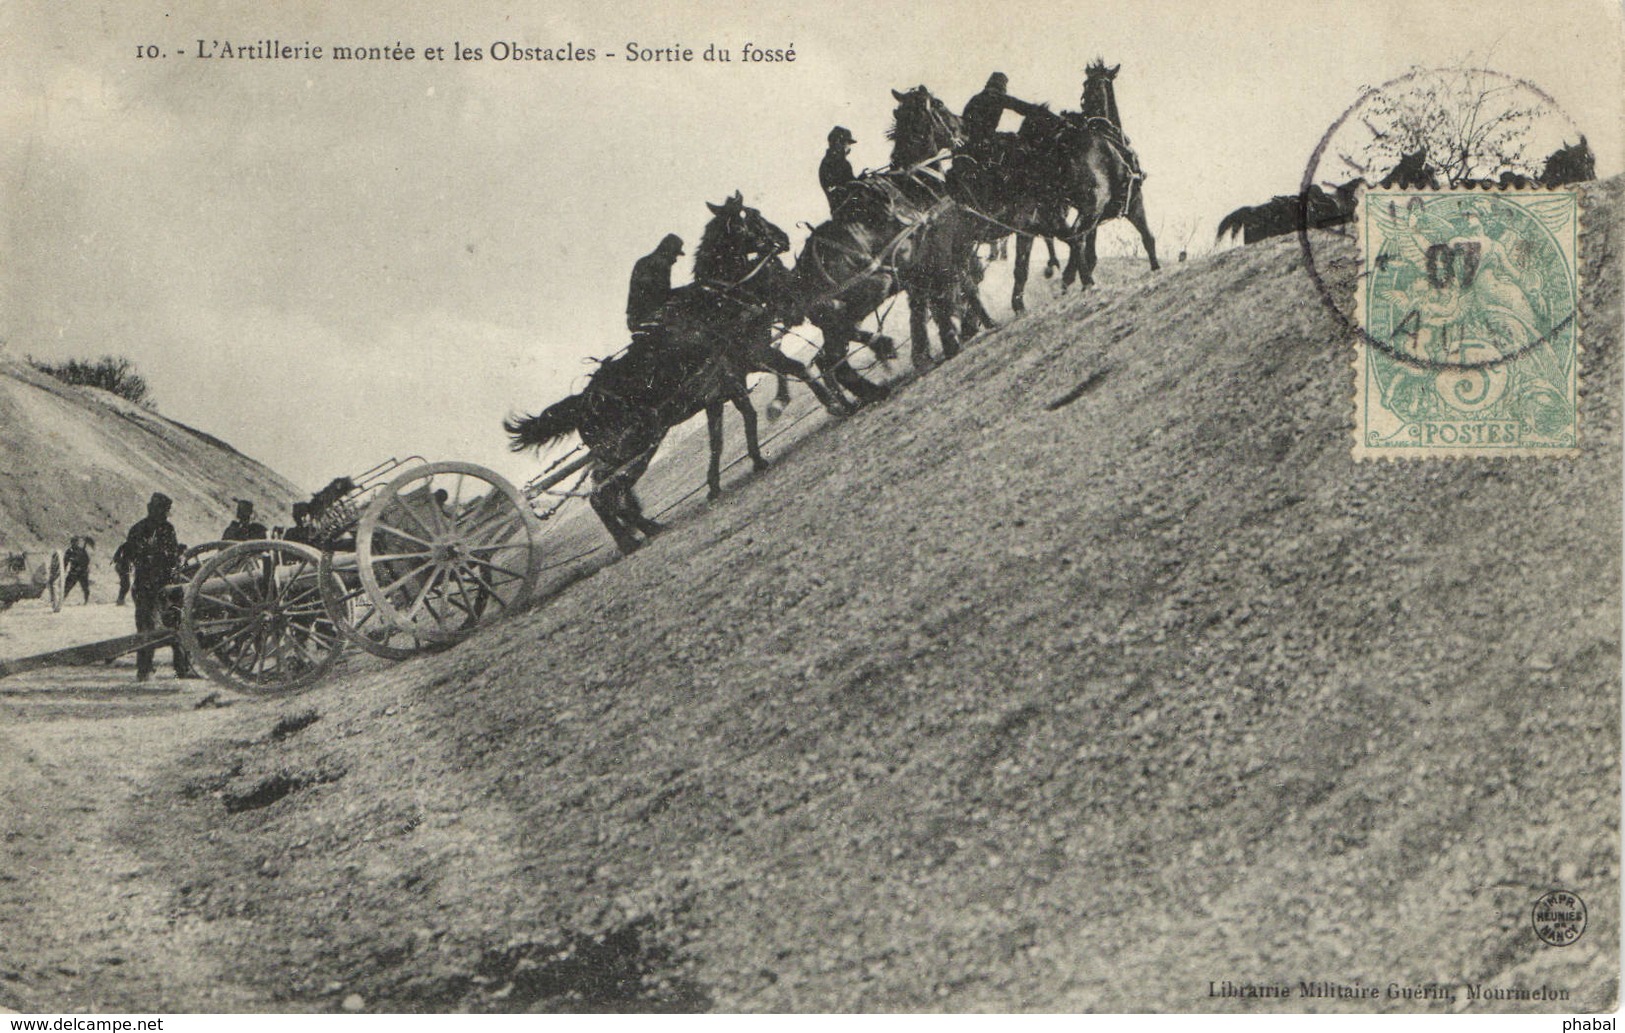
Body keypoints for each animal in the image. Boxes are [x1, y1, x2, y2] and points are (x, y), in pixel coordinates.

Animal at [507, 191, 825, 548]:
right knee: (602, 493)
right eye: (752, 217)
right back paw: (630, 541)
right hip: (633, 446)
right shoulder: (744, 363)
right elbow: (762, 399)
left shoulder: (723, 386)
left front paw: (728, 476)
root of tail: (582, 404)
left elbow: (726, 431)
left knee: (614, 494)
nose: (782, 238)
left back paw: (646, 529)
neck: (714, 302)